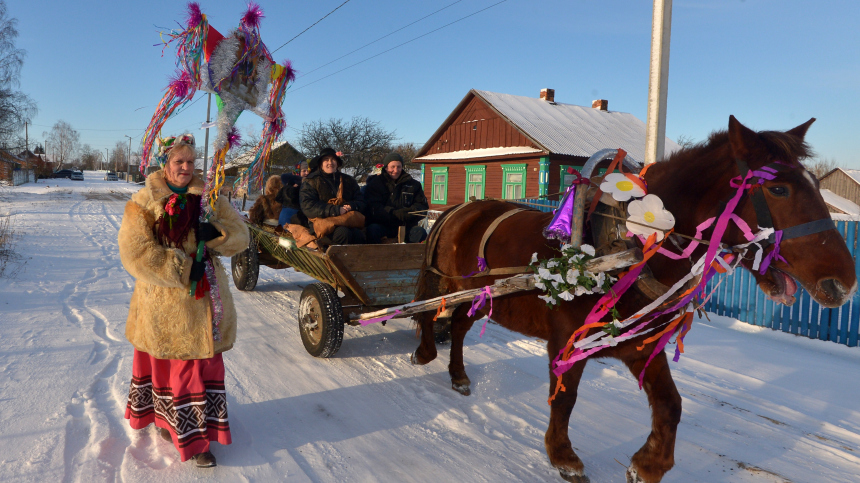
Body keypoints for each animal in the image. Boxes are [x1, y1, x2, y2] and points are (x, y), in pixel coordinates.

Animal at [410, 115, 852, 482]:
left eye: (816, 185)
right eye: (778, 188)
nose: (844, 283)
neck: (630, 250)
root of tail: (460, 209)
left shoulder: (641, 345)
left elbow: (671, 405)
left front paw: (648, 464)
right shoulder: (567, 343)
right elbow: (565, 398)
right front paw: (563, 456)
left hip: (482, 296)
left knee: (459, 325)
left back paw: (458, 375)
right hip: (450, 285)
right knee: (429, 316)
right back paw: (425, 352)